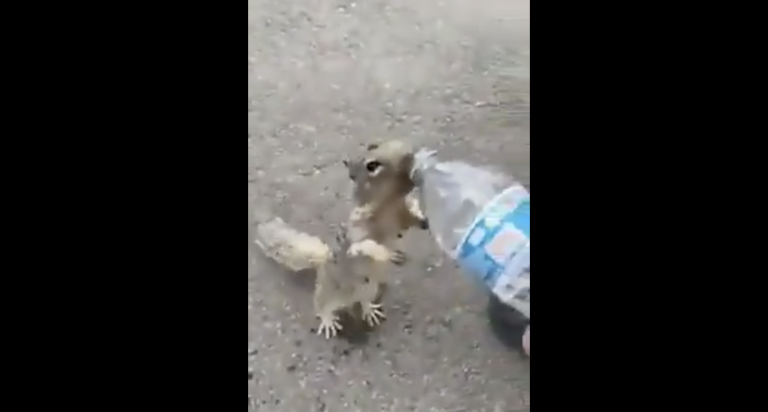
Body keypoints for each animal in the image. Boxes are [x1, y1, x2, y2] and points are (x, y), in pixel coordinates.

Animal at [252, 139, 428, 339]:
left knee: (364, 300)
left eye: (375, 144)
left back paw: (369, 310)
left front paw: (423, 219)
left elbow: (411, 217)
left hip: (370, 289)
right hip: (330, 293)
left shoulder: (402, 215)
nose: (410, 155)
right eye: (372, 166)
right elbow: (364, 247)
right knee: (320, 306)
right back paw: (328, 320)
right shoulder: (358, 230)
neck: (388, 204)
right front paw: (386, 253)